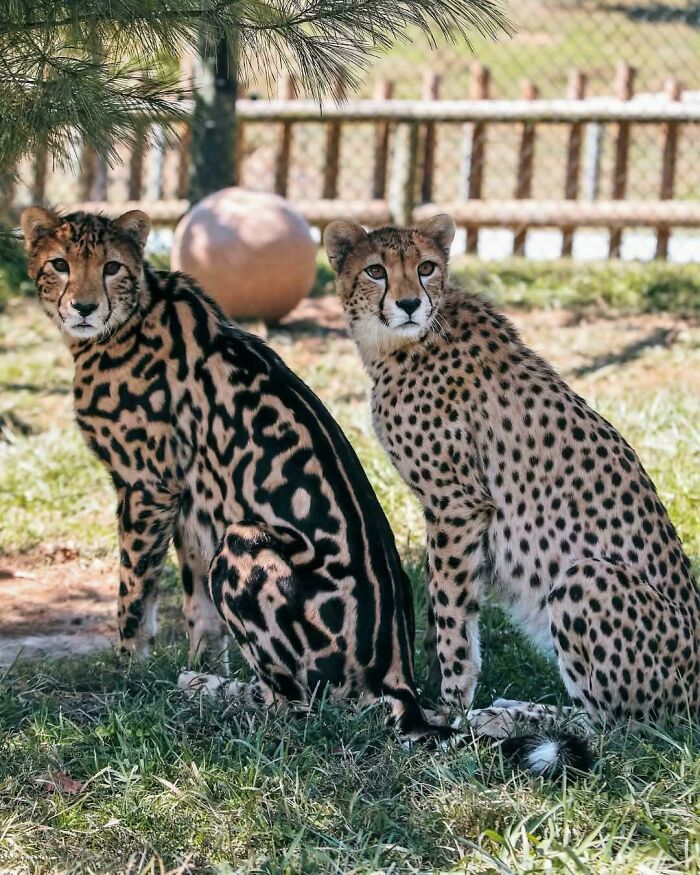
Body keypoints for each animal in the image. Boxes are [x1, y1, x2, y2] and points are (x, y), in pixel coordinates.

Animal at [325, 213, 700, 739]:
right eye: (375, 271)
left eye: (426, 267)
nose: (410, 304)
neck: (403, 342)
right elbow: (446, 607)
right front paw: (439, 691)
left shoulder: (457, 504)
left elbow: (451, 613)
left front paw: (450, 706)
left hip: (586, 575)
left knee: (615, 724)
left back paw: (506, 717)